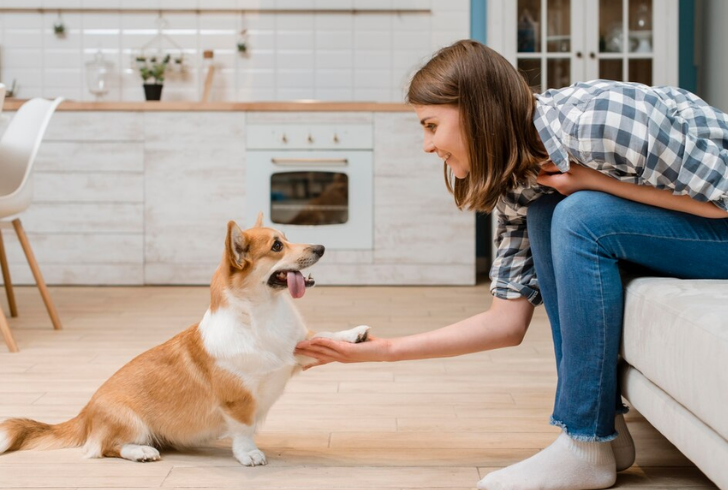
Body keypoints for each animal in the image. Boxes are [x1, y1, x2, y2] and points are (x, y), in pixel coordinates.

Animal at [0, 216, 370, 466]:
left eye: (287, 238)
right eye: (277, 246)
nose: (321, 247)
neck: (261, 314)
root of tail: (85, 412)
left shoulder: (295, 351)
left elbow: (322, 335)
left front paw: (355, 334)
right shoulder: (237, 399)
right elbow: (244, 429)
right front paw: (249, 454)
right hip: (130, 421)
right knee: (105, 448)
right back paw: (142, 452)